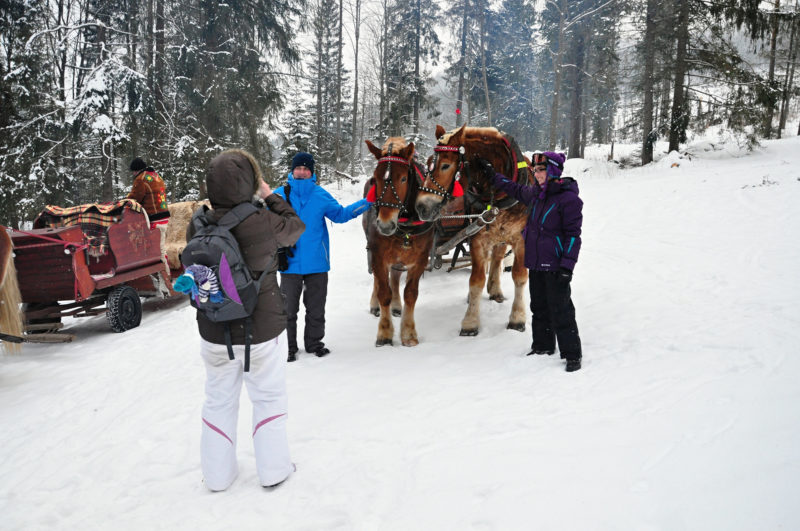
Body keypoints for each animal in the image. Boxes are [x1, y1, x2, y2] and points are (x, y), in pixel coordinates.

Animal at [366, 135, 434, 348]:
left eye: (403, 178)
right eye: (375, 178)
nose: (385, 225)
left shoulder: (420, 259)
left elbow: (410, 294)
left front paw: (409, 333)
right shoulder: (378, 255)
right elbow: (383, 292)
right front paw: (384, 332)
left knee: (395, 277)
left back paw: (397, 305)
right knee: (379, 281)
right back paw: (375, 305)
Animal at [412, 124, 532, 336]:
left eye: (445, 165)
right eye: (427, 163)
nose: (422, 207)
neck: (498, 195)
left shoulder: (520, 240)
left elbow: (519, 276)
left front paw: (517, 319)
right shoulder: (477, 238)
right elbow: (476, 280)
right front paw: (470, 322)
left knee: (498, 258)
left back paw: (495, 290)